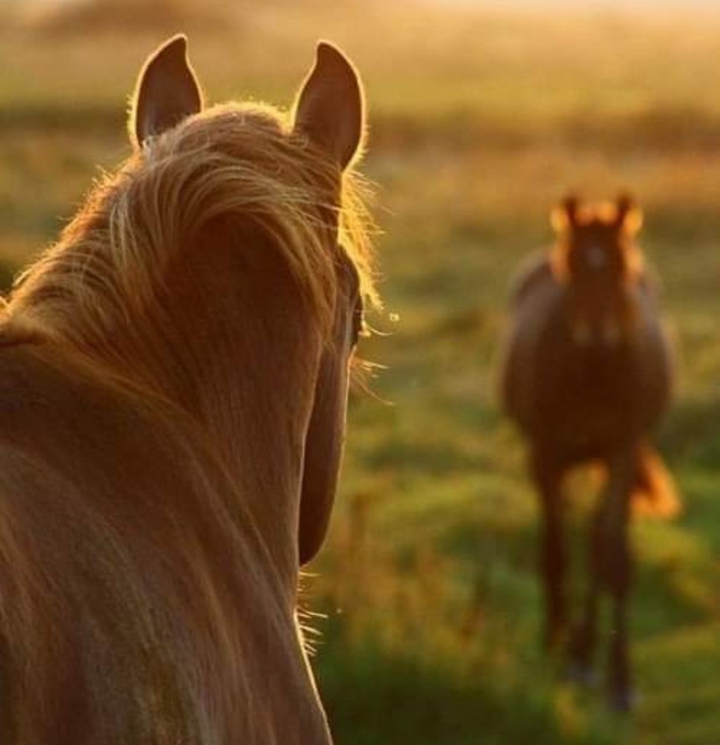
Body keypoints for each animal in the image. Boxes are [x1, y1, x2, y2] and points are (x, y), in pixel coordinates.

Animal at [500, 194, 678, 712]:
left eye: (620, 266)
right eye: (574, 267)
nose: (599, 337)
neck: (593, 376)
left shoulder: (621, 450)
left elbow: (611, 553)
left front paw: (617, 677)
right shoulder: (545, 453)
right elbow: (556, 549)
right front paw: (557, 646)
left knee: (601, 538)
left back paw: (587, 650)